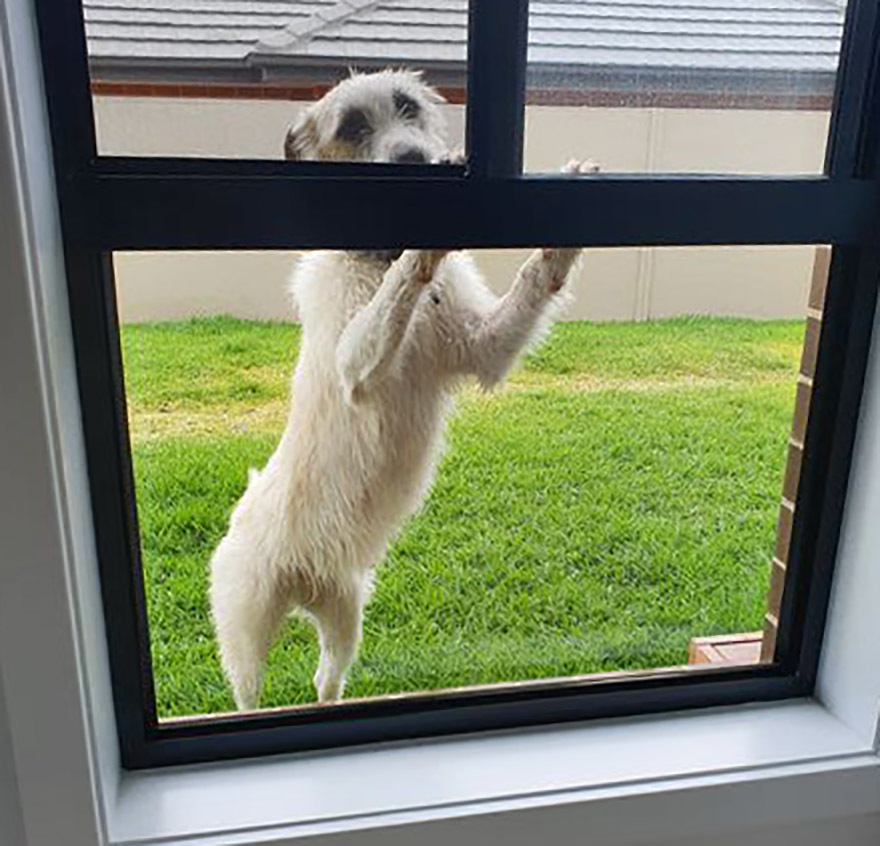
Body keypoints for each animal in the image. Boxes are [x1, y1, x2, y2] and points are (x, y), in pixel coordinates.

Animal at [210, 71, 596, 708]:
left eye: (408, 109)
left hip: (345, 615)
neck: (376, 261)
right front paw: (418, 254)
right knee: (247, 692)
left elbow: (533, 281)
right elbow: (393, 298)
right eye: (352, 127)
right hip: (245, 632)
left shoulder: (484, 346)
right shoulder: (355, 367)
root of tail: (302, 583)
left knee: (324, 679)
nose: (416, 159)